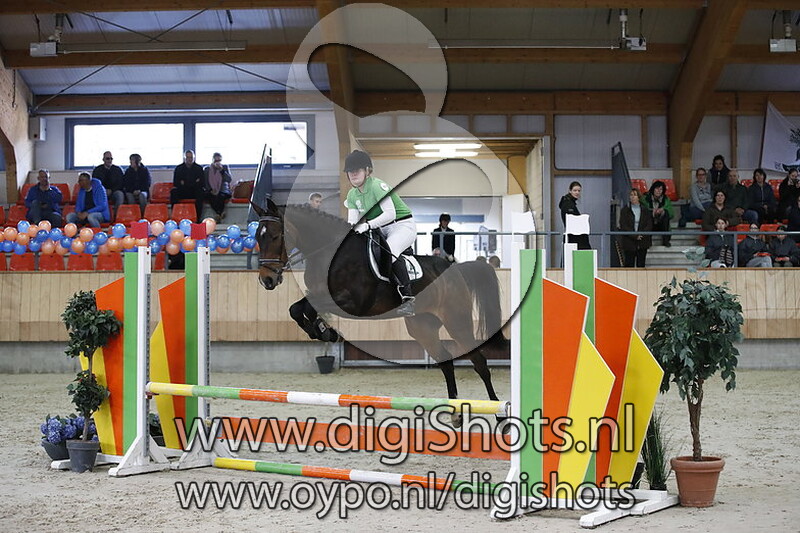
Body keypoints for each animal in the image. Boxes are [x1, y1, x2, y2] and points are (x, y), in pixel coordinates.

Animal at [251, 199, 509, 424]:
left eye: (275, 236)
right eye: (256, 237)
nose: (266, 280)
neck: (329, 251)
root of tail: (454, 268)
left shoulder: (352, 302)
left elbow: (307, 308)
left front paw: (324, 331)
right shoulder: (317, 293)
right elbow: (296, 308)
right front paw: (323, 331)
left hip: (456, 320)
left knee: (479, 362)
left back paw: (500, 415)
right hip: (422, 326)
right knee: (445, 361)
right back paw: (455, 414)